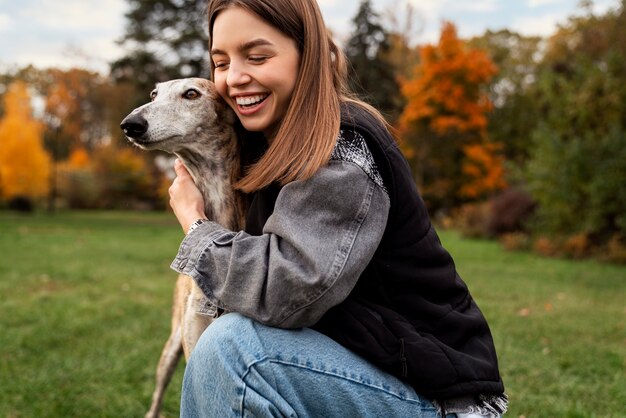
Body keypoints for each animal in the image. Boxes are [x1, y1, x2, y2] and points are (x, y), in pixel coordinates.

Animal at [119, 78, 244, 418]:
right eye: (153, 94)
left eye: (191, 94)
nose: (130, 124)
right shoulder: (193, 345)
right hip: (171, 348)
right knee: (158, 394)